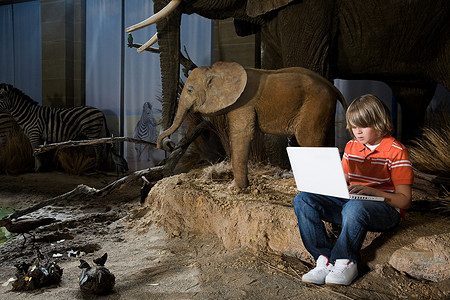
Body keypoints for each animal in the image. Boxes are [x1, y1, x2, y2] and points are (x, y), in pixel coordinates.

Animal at [156, 61, 346, 188]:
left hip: (315, 104)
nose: (167, 145)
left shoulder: (244, 102)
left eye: (189, 90)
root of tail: (333, 87)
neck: (217, 69)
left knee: (308, 140)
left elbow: (242, 134)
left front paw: (235, 188)